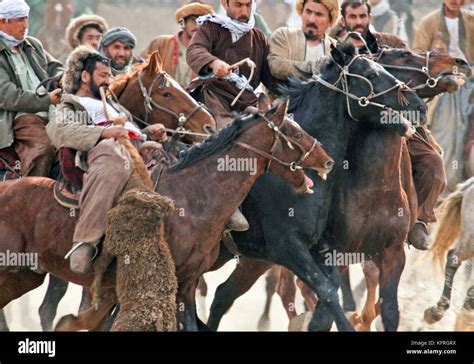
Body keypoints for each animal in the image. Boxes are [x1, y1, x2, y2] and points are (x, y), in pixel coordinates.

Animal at [207, 45, 470, 330]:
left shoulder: (392, 252)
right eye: (400, 56)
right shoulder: (320, 251)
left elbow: (388, 310)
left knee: (223, 294)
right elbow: (326, 307)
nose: (459, 63)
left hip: (254, 259)